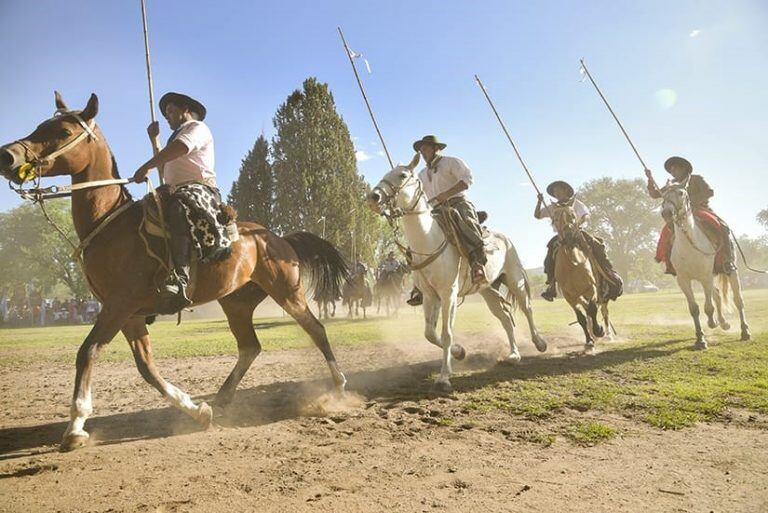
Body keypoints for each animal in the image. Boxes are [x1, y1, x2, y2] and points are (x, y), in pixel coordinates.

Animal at [0, 93, 348, 452]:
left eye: (63, 131)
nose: (7, 156)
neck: (111, 225)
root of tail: (276, 238)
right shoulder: (129, 313)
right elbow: (147, 367)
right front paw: (197, 410)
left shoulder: (118, 305)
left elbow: (88, 351)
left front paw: (76, 425)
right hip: (236, 302)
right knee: (250, 346)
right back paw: (222, 398)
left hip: (287, 292)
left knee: (316, 329)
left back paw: (337, 386)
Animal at [368, 155, 548, 392]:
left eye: (402, 175)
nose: (373, 197)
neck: (429, 239)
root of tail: (504, 238)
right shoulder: (430, 296)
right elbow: (430, 333)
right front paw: (459, 352)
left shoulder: (449, 294)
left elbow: (446, 333)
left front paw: (444, 377)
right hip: (487, 291)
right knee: (506, 319)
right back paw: (514, 355)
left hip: (514, 278)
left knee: (527, 308)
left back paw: (539, 342)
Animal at [552, 204, 612, 352]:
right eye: (555, 219)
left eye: (573, 215)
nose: (568, 237)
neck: (572, 265)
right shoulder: (570, 296)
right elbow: (582, 318)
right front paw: (589, 341)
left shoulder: (591, 289)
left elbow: (593, 309)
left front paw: (599, 330)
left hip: (602, 292)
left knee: (603, 310)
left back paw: (608, 335)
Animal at [660, 180, 752, 348]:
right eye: (663, 195)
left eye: (681, 193)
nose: (667, 213)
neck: (689, 244)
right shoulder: (683, 280)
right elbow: (694, 309)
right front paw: (700, 338)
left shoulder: (705, 277)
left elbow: (709, 307)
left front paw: (710, 325)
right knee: (717, 294)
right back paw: (723, 323)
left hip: (730, 271)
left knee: (737, 300)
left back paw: (744, 331)